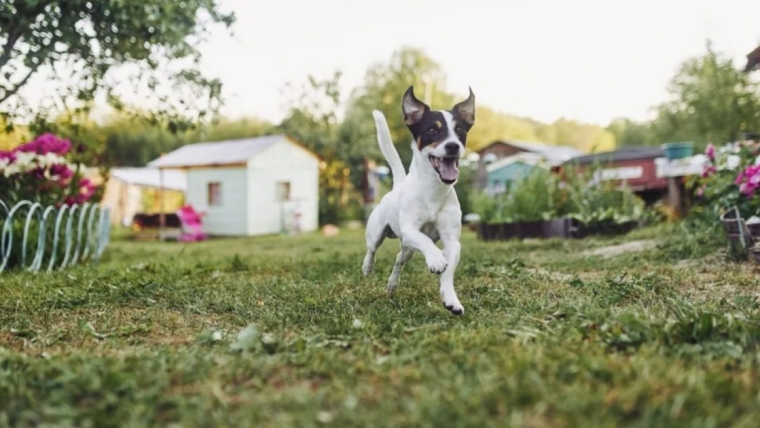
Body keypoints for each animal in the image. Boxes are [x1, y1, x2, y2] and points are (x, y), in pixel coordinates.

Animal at [362, 85, 476, 316]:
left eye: (460, 130)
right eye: (432, 130)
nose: (453, 146)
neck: (433, 190)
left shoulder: (452, 241)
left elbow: (448, 272)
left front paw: (451, 300)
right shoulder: (410, 230)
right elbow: (426, 241)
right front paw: (436, 259)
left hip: (408, 250)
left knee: (399, 259)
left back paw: (392, 284)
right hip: (378, 232)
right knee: (372, 248)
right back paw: (367, 266)